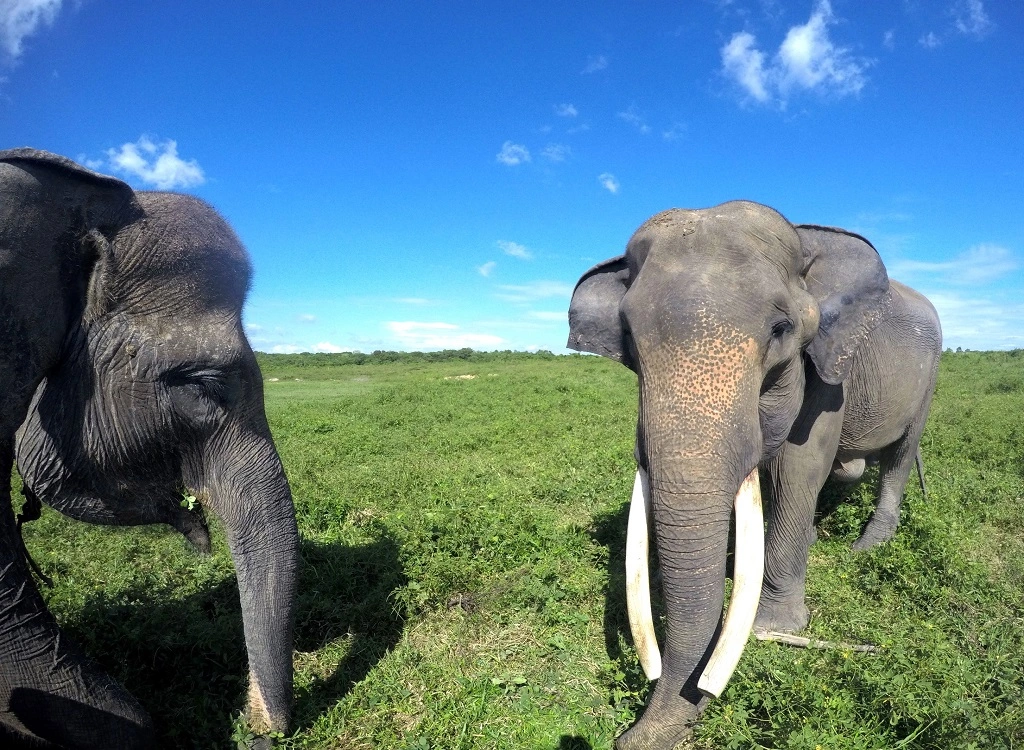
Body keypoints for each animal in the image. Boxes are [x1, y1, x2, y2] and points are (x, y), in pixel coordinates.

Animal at [569, 200, 942, 750]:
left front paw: (775, 625)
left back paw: (868, 545)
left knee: (899, 454)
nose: (627, 738)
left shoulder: (827, 366)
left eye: (780, 329)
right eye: (629, 339)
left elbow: (800, 465)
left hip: (929, 375)